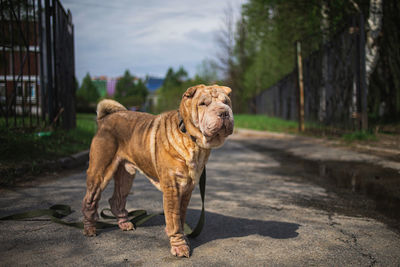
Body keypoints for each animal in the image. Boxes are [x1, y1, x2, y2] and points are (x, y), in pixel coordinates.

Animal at [81, 85, 234, 258]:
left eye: (226, 102)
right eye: (203, 104)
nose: (224, 112)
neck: (191, 140)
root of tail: (104, 119)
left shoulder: (187, 188)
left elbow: (180, 216)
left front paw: (182, 236)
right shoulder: (172, 187)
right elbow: (174, 218)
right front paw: (180, 246)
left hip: (126, 175)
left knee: (117, 199)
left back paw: (124, 223)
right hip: (100, 171)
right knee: (89, 201)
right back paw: (90, 228)